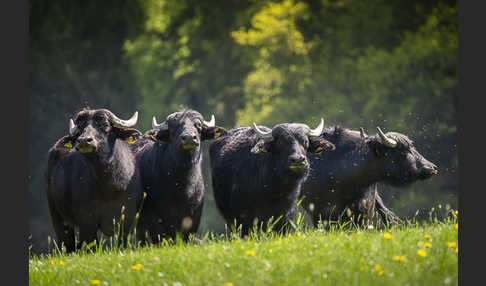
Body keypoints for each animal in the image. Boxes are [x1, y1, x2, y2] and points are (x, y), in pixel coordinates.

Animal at [44, 108, 143, 251]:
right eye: (81, 127)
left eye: (105, 125)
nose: (84, 140)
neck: (109, 187)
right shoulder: (86, 221)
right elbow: (91, 246)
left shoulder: (126, 219)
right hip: (57, 215)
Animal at [131, 109, 226, 244]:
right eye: (174, 127)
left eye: (198, 126)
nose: (189, 138)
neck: (181, 186)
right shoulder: (153, 218)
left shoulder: (193, 217)